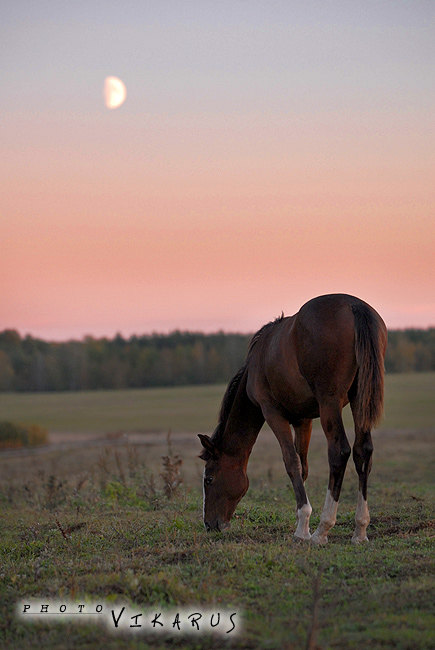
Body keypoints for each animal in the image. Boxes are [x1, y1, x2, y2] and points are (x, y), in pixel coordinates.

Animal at [199, 292, 386, 540]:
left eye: (209, 479)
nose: (210, 524)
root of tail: (353, 305)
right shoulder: (303, 420)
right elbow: (303, 465)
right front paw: (301, 524)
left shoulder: (272, 413)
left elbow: (291, 462)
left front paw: (303, 527)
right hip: (359, 400)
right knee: (362, 451)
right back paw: (360, 530)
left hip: (330, 403)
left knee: (339, 452)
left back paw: (322, 530)